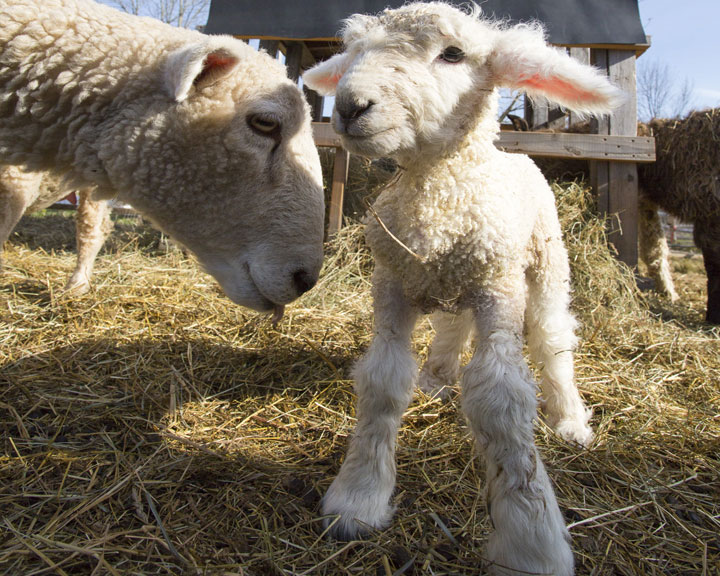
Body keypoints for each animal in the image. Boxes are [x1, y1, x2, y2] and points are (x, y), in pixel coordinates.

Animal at [304, 2, 624, 572]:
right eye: (355, 51)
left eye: (453, 54)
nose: (350, 106)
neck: (441, 191)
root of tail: (513, 152)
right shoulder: (391, 286)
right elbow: (383, 382)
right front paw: (358, 499)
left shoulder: (499, 290)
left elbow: (501, 398)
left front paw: (530, 543)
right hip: (456, 281)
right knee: (454, 323)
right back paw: (437, 377)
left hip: (545, 262)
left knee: (552, 336)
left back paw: (569, 420)